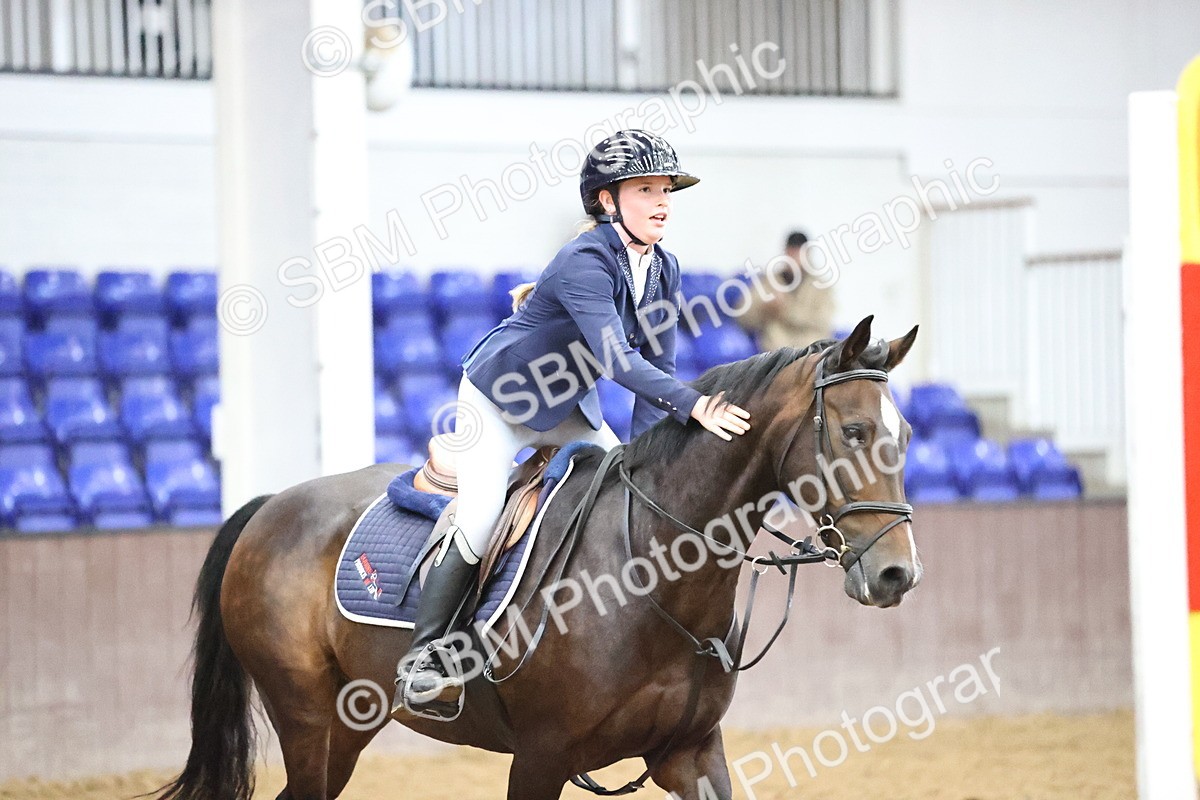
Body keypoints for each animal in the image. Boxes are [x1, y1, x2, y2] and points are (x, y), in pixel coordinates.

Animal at [151, 315, 922, 800]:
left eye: (907, 434)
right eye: (855, 431)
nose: (897, 574)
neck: (653, 575)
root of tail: (271, 505)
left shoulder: (691, 751)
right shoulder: (543, 755)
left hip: (346, 728)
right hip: (308, 718)